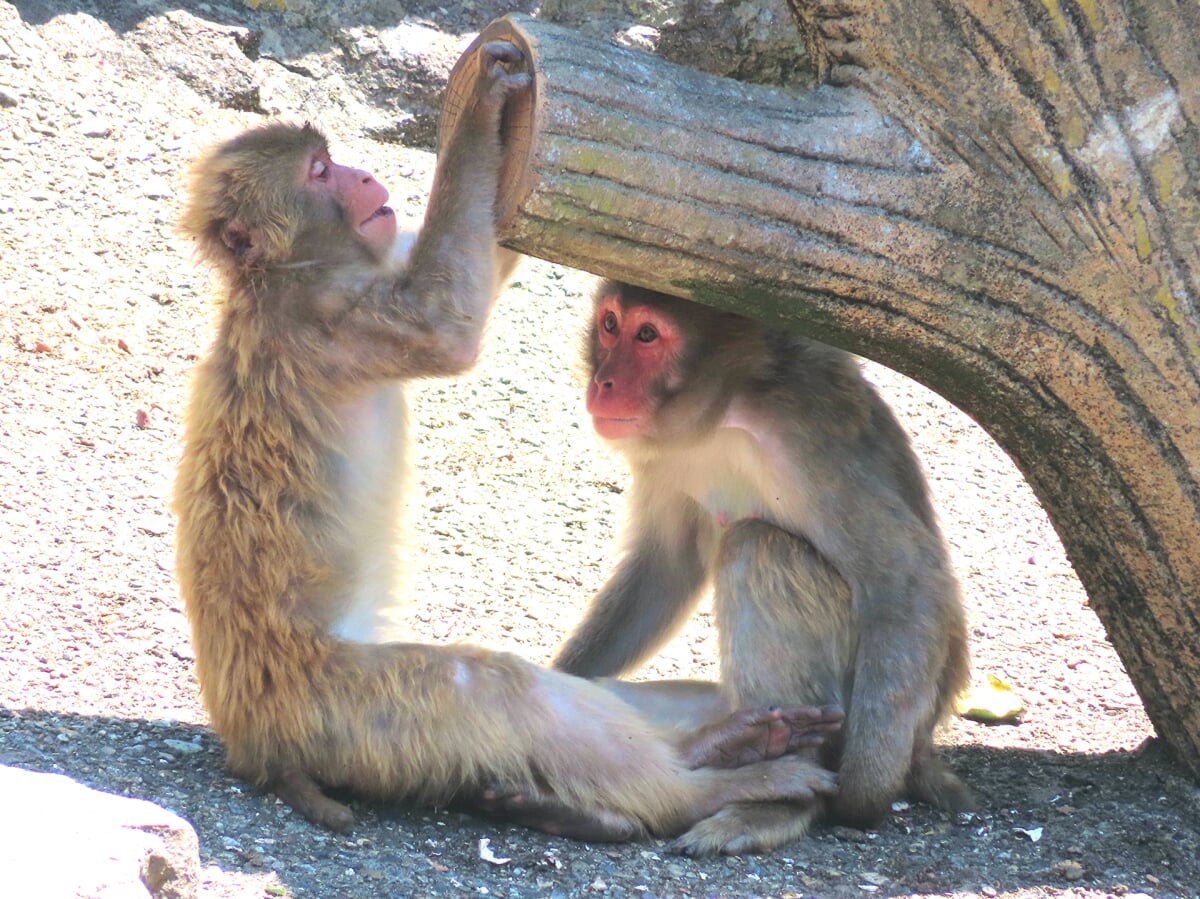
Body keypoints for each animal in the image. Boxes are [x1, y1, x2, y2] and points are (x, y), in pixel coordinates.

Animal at [174, 40, 844, 840]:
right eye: (318, 171)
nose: (363, 175)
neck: (286, 276)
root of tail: (254, 744)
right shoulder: (339, 325)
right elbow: (449, 320)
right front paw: (481, 106)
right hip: (351, 709)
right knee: (495, 688)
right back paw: (704, 786)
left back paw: (708, 745)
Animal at [552, 282, 974, 854]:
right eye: (611, 325)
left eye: (648, 335)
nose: (604, 382)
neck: (725, 411)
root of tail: (926, 738)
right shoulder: (662, 455)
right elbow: (665, 567)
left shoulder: (807, 432)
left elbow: (907, 580)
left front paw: (863, 794)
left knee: (757, 548)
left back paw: (773, 796)